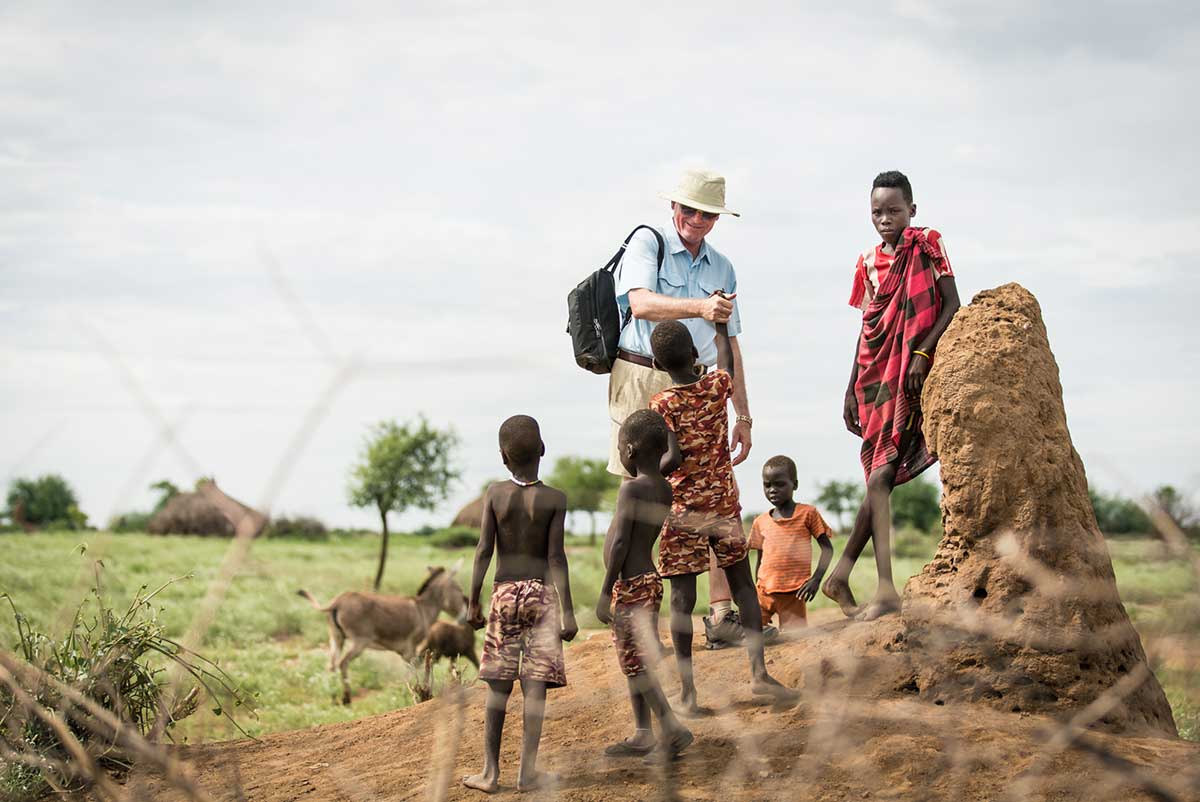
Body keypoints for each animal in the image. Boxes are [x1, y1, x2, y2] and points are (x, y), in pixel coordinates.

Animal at [297, 561, 465, 705]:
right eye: (458, 588)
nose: (464, 617)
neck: (423, 608)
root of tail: (337, 601)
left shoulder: (405, 652)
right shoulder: (410, 649)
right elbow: (414, 673)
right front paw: (412, 696)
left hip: (336, 638)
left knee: (331, 665)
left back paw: (333, 697)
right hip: (359, 642)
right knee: (342, 662)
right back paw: (346, 699)